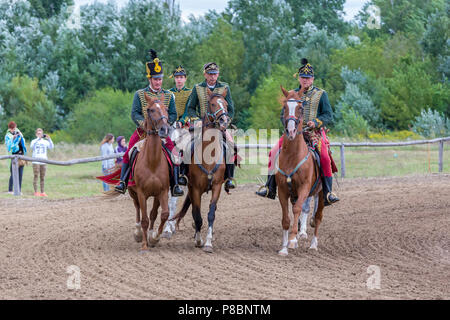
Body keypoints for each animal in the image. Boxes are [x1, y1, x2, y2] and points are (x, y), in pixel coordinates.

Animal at [129, 93, 173, 252]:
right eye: (151, 110)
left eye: (166, 109)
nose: (164, 129)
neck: (152, 162)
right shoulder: (142, 193)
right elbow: (144, 219)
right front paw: (144, 245)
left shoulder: (163, 191)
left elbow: (163, 214)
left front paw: (154, 238)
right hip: (132, 192)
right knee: (137, 209)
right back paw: (137, 233)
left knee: (153, 213)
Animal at [171, 87, 230, 252]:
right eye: (212, 104)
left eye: (226, 104)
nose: (224, 121)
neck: (209, 156)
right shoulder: (194, 188)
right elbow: (196, 214)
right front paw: (198, 240)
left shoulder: (217, 187)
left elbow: (211, 214)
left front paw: (208, 243)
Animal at [276, 86, 326, 256]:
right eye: (285, 107)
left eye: (301, 108)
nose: (291, 131)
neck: (292, 157)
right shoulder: (282, 190)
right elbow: (286, 218)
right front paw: (284, 247)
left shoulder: (304, 188)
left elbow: (298, 208)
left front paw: (292, 240)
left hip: (322, 194)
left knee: (317, 217)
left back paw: (313, 245)